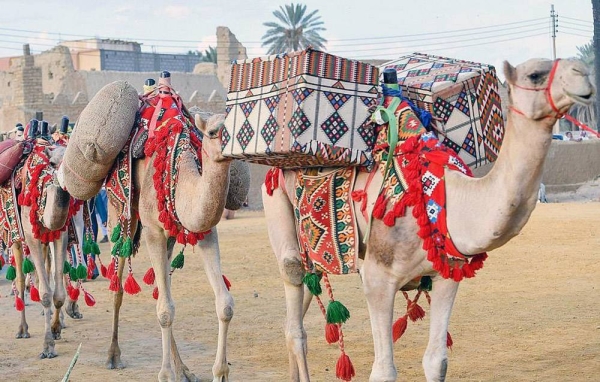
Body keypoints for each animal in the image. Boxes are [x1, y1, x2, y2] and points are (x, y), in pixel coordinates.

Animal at [105, 111, 232, 382]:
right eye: (213, 132)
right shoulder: (153, 231)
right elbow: (164, 311)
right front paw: (164, 374)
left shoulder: (204, 231)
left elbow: (224, 303)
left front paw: (220, 372)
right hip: (120, 217)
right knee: (118, 286)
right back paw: (113, 355)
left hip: (170, 237)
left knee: (162, 290)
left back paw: (183, 370)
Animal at [260, 57, 592, 382]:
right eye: (535, 74)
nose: (584, 74)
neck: (450, 200)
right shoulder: (377, 277)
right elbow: (384, 371)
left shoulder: (447, 275)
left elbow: (436, 362)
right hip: (275, 201)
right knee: (294, 302)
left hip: (313, 253)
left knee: (296, 309)